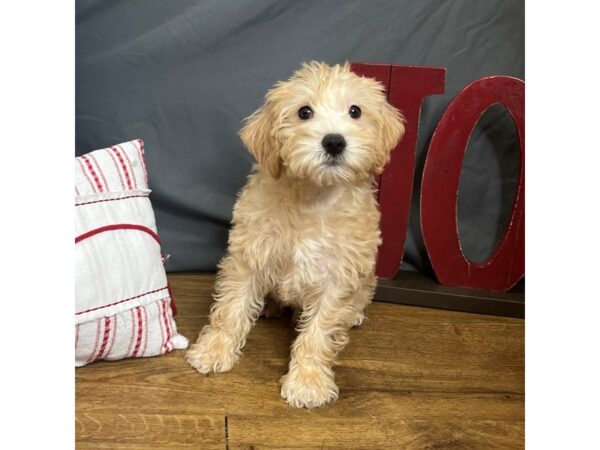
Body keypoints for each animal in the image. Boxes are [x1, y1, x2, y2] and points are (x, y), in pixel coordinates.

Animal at [185, 61, 406, 410]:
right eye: (304, 112)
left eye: (355, 111)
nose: (334, 142)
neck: (313, 197)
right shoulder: (250, 254)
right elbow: (231, 308)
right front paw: (213, 350)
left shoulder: (338, 277)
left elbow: (319, 332)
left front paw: (308, 381)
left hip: (366, 275)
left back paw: (354, 314)